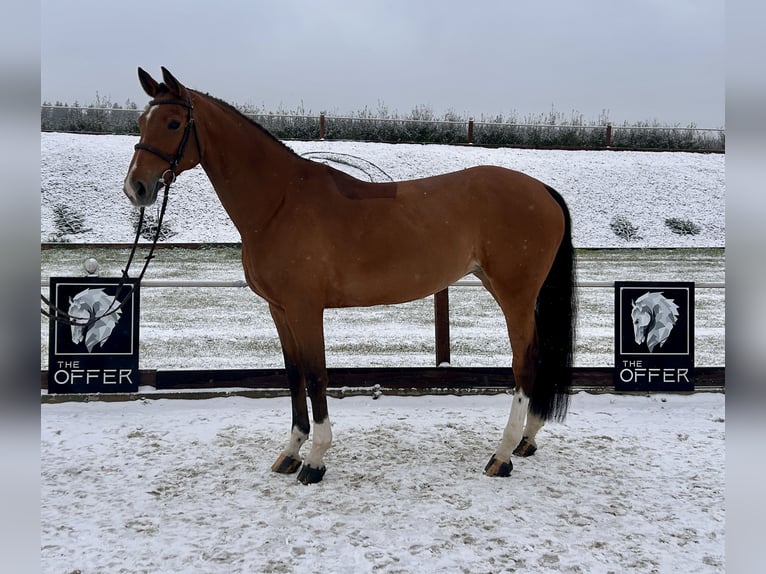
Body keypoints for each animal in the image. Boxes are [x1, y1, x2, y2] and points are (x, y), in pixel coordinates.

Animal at [124, 67, 576, 486]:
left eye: (173, 123)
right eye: (142, 121)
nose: (136, 188)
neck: (279, 203)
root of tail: (543, 190)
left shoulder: (306, 309)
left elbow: (316, 374)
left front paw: (315, 460)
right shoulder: (279, 310)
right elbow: (293, 375)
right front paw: (291, 452)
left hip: (514, 295)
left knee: (524, 362)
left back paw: (502, 455)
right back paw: (527, 440)